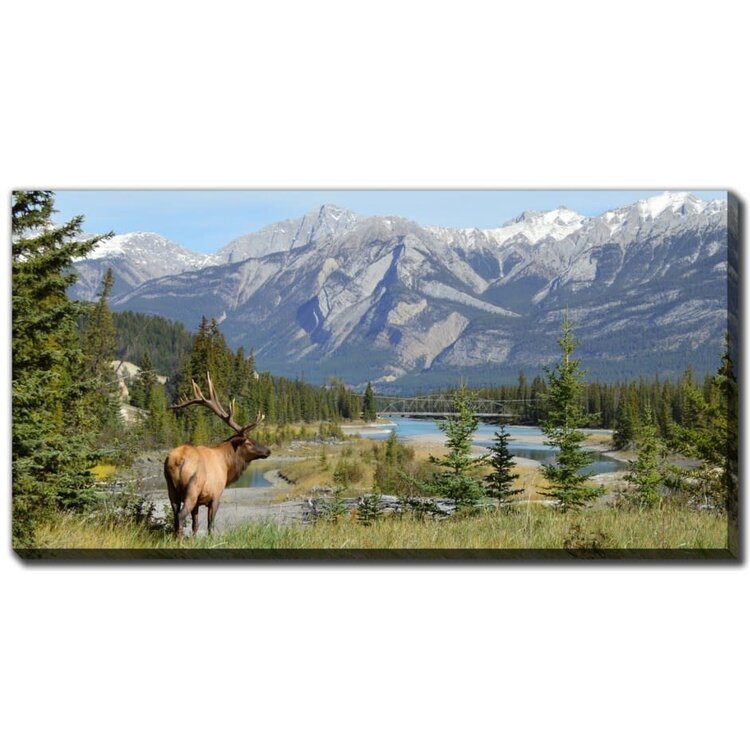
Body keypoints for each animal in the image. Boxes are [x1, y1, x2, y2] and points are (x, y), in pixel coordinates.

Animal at [164, 372, 270, 537]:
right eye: (249, 442)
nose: (268, 451)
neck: (227, 465)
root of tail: (178, 460)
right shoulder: (216, 495)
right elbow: (210, 524)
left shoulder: (198, 502)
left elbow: (195, 525)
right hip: (192, 487)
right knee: (181, 515)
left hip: (171, 488)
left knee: (175, 515)